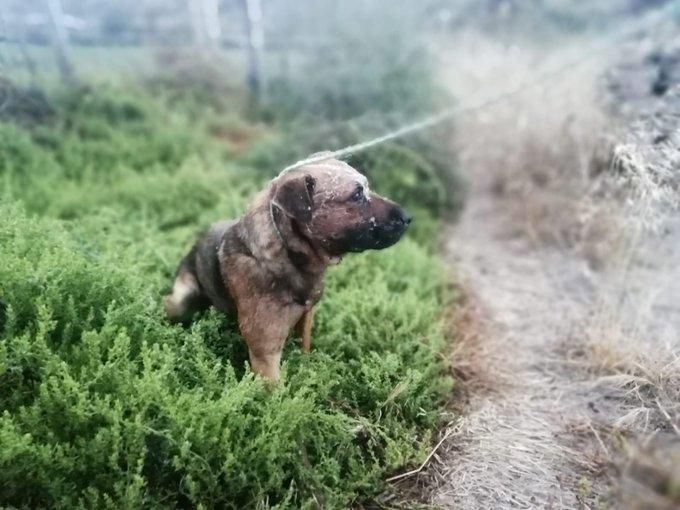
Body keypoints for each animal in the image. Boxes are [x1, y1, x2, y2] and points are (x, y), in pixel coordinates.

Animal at [162, 154, 412, 378]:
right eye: (357, 195)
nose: (408, 217)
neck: (290, 255)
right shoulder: (266, 356)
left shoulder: (307, 316)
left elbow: (304, 346)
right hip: (182, 299)